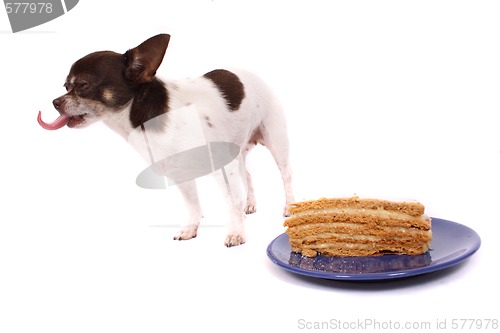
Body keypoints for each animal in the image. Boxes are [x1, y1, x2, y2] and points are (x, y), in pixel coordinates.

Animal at [42, 34, 296, 246]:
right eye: (65, 86)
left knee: (285, 176)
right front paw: (191, 228)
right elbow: (193, 204)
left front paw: (236, 233)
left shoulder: (224, 169)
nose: (55, 102)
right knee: (248, 176)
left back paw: (289, 206)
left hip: (276, 141)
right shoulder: (181, 174)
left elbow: (231, 201)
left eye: (82, 85)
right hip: (239, 151)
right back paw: (250, 204)